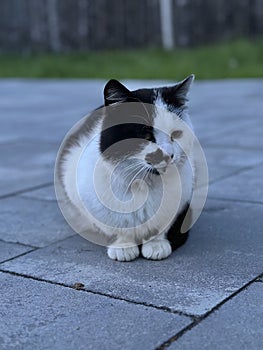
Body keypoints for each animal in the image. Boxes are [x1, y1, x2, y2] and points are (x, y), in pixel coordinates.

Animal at [55, 75, 196, 262]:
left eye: (176, 134)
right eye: (145, 135)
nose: (168, 155)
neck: (143, 184)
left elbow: (164, 225)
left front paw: (156, 244)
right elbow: (112, 226)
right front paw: (123, 245)